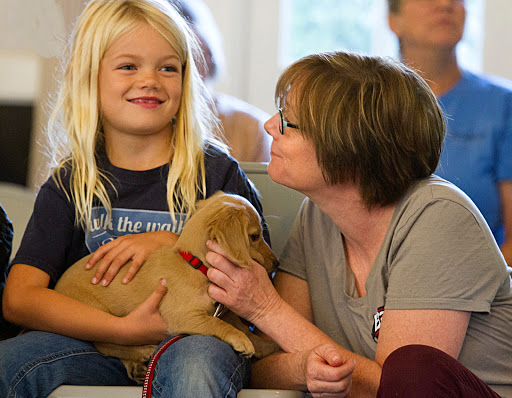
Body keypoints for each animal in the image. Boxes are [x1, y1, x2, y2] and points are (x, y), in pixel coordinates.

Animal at [55, 193, 280, 382]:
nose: (277, 264)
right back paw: (142, 352)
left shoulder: (224, 311)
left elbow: (243, 327)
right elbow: (218, 324)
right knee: (104, 343)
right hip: (98, 314)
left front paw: (267, 345)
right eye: (255, 236)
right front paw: (241, 340)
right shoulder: (186, 317)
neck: (195, 266)